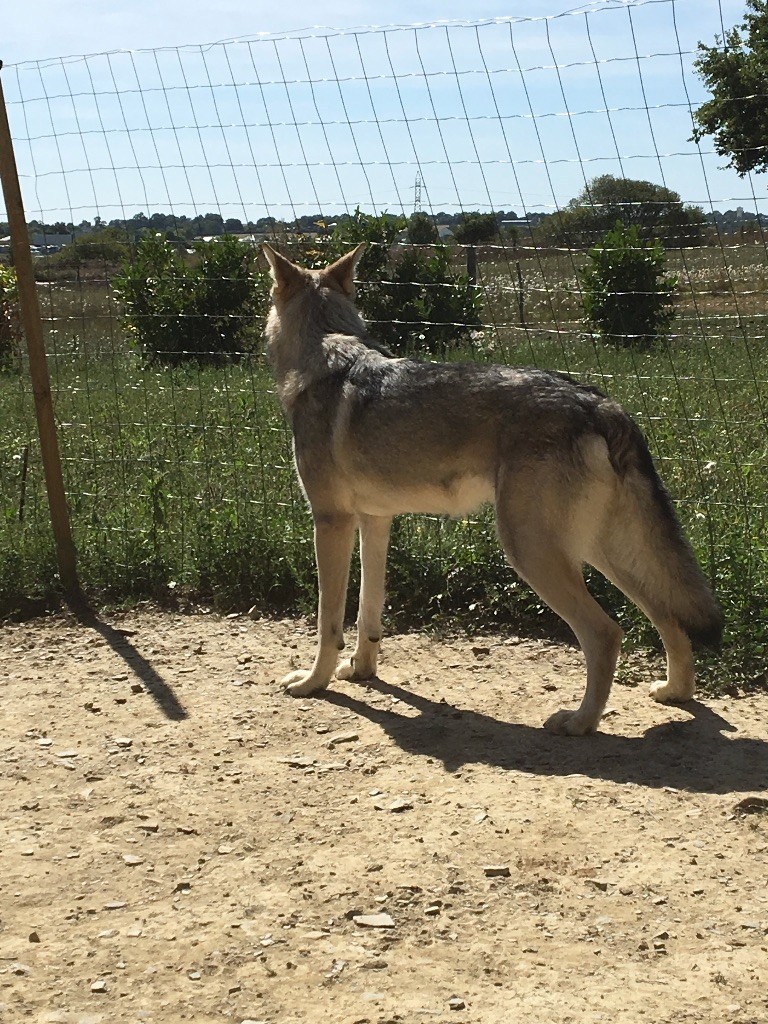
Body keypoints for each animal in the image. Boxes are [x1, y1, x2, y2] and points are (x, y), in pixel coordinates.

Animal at [264, 241, 720, 737]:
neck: (328, 351)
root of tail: (599, 403)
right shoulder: (375, 522)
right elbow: (370, 611)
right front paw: (361, 670)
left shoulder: (331, 522)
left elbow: (327, 621)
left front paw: (313, 683)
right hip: (599, 550)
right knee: (668, 616)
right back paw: (675, 692)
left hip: (533, 552)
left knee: (606, 633)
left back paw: (580, 721)